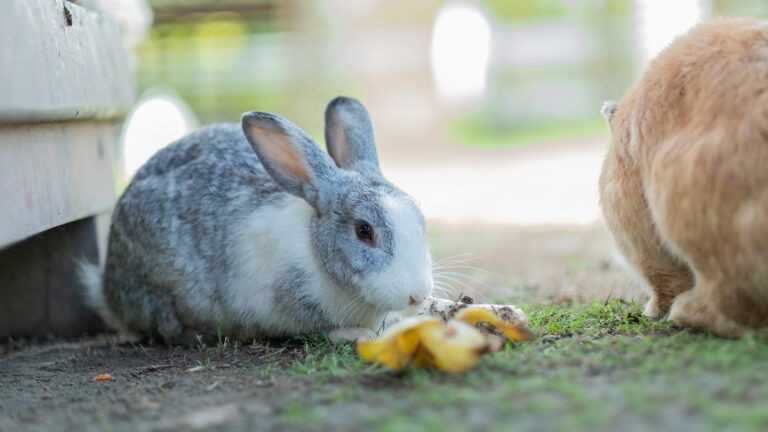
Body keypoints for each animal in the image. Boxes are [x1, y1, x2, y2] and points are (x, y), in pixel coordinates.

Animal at [80, 96, 434, 344]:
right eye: (364, 231)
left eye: (421, 221)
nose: (418, 295)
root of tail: (108, 288)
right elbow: (319, 330)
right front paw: (355, 334)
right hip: (156, 287)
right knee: (165, 327)